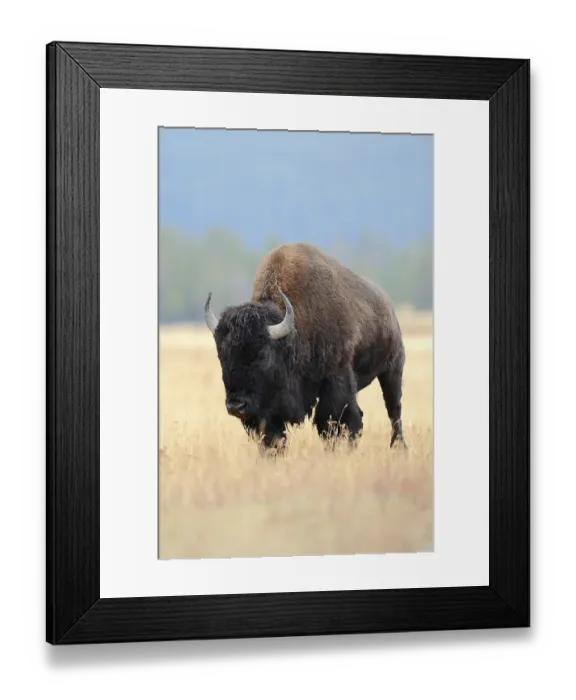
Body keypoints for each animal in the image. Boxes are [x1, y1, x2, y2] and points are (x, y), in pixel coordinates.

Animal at [204, 242, 407, 455]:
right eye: (222, 355)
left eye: (263, 355)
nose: (236, 405)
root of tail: (388, 306)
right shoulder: (270, 406)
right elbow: (272, 433)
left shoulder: (336, 379)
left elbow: (333, 420)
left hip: (392, 370)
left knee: (393, 409)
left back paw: (399, 447)